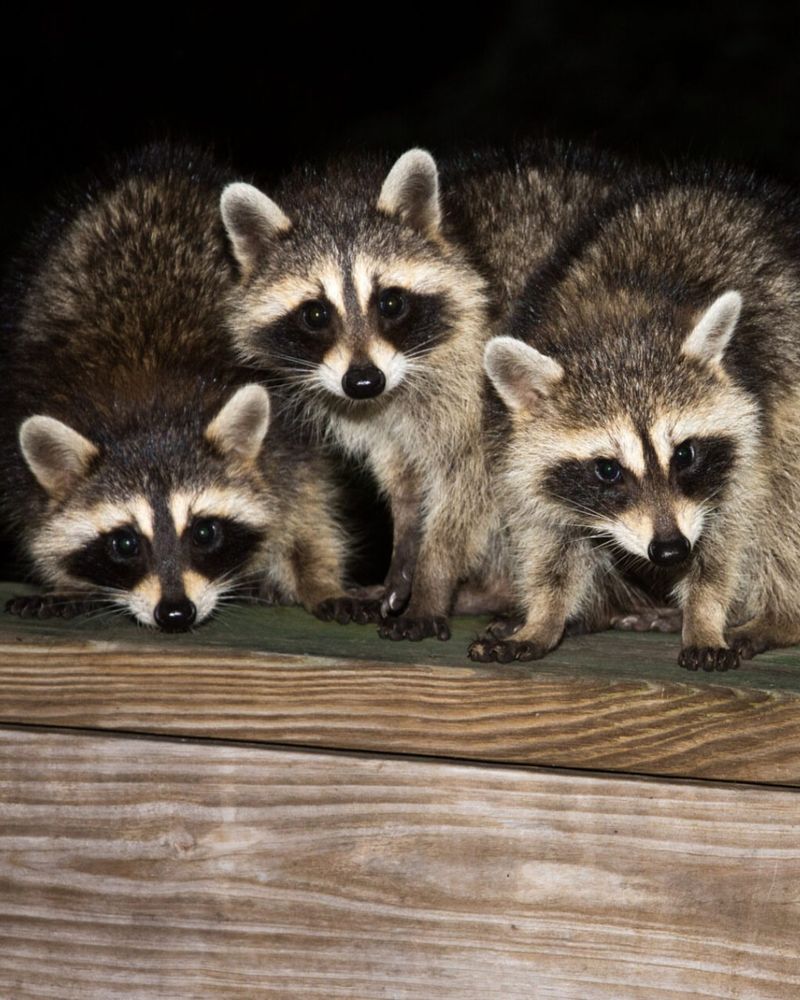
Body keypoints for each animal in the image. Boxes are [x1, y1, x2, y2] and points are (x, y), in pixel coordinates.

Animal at [0, 145, 349, 631]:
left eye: (204, 532)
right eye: (125, 543)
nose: (176, 613)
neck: (149, 406)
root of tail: (161, 166)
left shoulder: (288, 430)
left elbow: (307, 500)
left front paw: (317, 577)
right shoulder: (27, 415)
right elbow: (38, 520)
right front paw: (66, 581)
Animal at [220, 144, 617, 639]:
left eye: (390, 303)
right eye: (315, 314)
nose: (364, 381)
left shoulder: (481, 387)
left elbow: (471, 487)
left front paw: (432, 580)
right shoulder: (378, 417)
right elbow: (404, 480)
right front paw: (405, 554)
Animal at [472, 165, 800, 670]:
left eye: (684, 454)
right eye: (607, 469)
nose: (670, 549)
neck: (620, 325)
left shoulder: (754, 426)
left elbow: (730, 532)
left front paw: (704, 614)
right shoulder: (518, 444)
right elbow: (548, 532)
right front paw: (543, 616)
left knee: (786, 495)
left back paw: (780, 616)